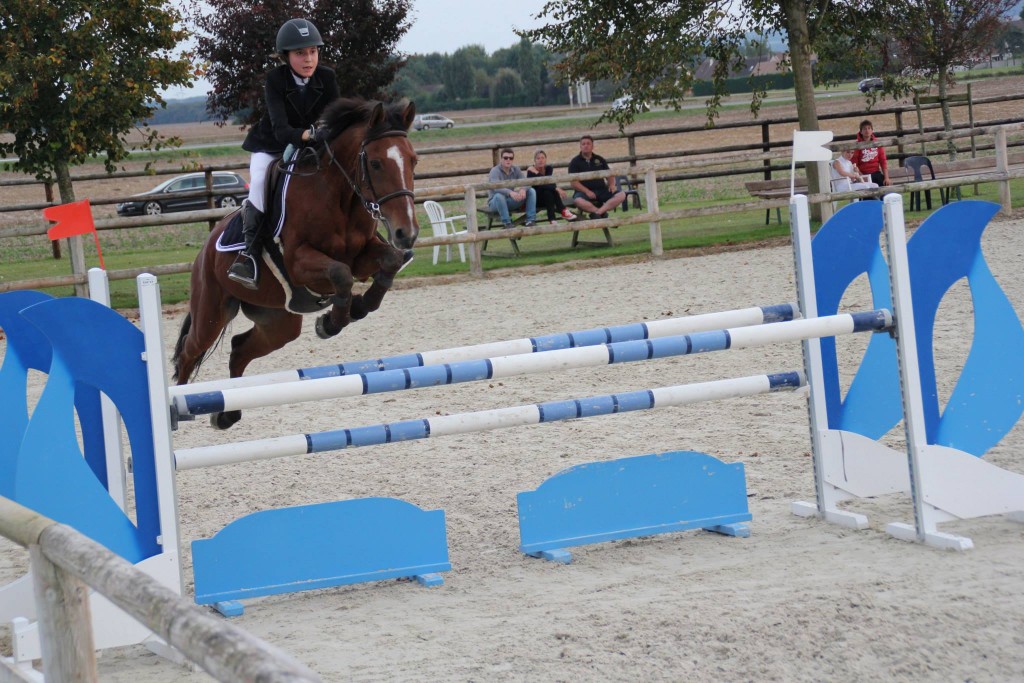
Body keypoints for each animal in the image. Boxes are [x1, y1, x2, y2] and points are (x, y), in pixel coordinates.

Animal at [174, 97, 417, 428]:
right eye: (376, 163)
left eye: (413, 161)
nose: (407, 233)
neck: (339, 196)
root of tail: (205, 250)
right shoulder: (299, 261)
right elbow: (340, 273)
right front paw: (331, 322)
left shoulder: (363, 256)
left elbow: (388, 261)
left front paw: (357, 307)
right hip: (210, 312)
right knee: (189, 351)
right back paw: (178, 408)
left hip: (278, 322)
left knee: (239, 349)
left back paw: (227, 414)